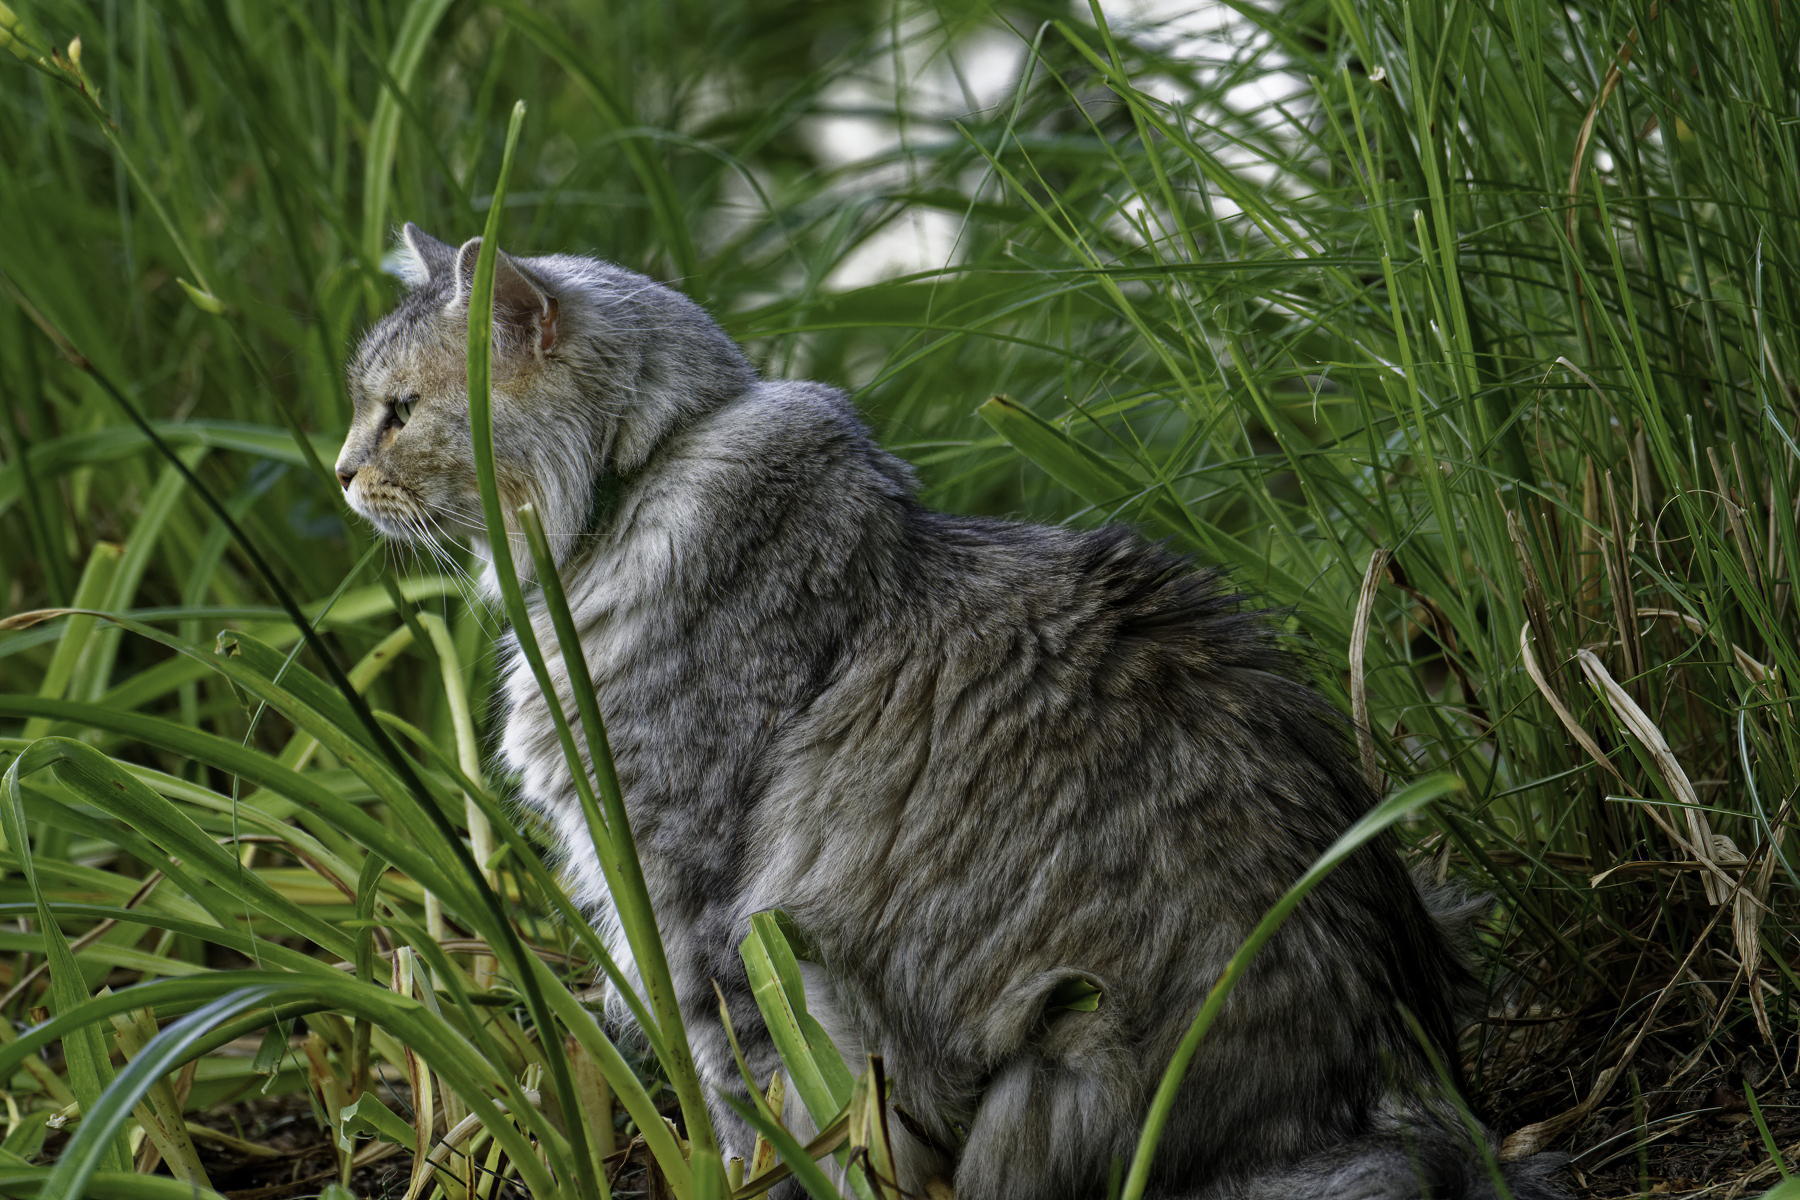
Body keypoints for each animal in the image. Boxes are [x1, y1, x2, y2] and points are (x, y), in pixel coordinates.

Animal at [334, 223, 1562, 1200]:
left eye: (397, 413)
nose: (339, 474)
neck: (641, 483)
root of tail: (1379, 1098)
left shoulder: (692, 904)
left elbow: (743, 1111)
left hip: (1056, 1041)